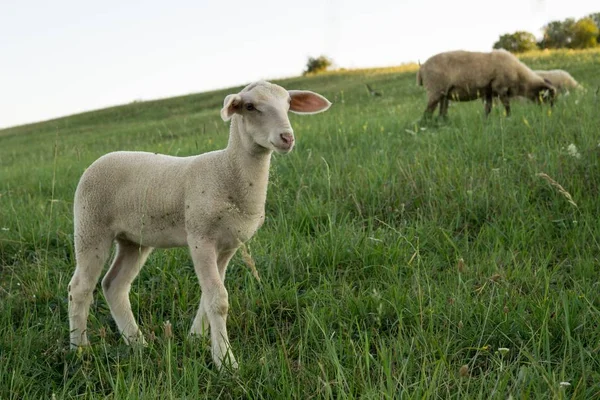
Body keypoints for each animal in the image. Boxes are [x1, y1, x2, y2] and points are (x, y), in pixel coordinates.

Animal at [70, 80, 336, 368]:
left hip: (134, 240)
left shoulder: (229, 244)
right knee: (80, 288)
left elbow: (208, 296)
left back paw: (137, 343)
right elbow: (218, 300)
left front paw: (196, 339)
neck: (227, 171)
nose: (287, 138)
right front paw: (226, 361)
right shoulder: (200, 237)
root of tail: (98, 160)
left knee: (114, 285)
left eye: (288, 104)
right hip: (90, 226)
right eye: (250, 106)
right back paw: (79, 350)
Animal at [414, 48, 556, 117]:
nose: (552, 112)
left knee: (441, 112)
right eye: (548, 97)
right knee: (427, 112)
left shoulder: (488, 92)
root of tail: (422, 67)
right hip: (435, 90)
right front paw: (509, 118)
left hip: (444, 94)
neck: (520, 77)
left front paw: (485, 121)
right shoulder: (500, 88)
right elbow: (507, 106)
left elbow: (488, 109)